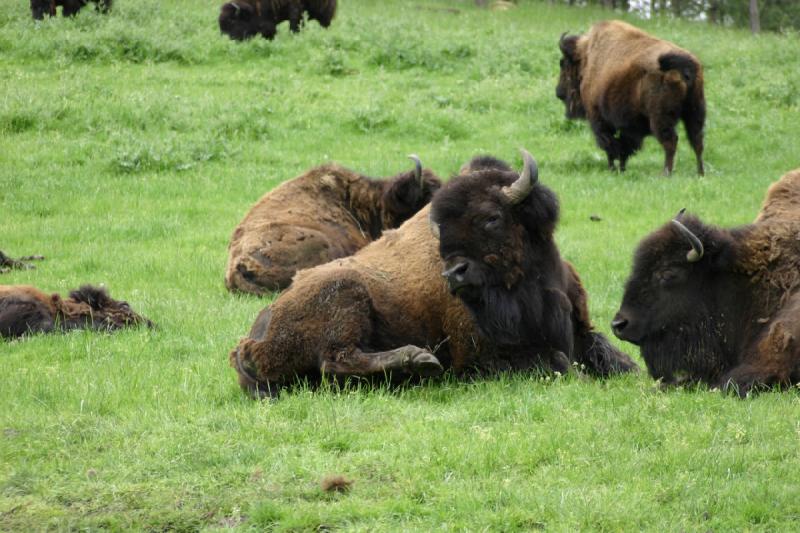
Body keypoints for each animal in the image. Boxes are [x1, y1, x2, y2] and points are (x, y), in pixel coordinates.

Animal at [556, 19, 708, 175]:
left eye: (563, 63)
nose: (559, 93)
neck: (587, 59)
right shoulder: (628, 127)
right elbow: (624, 147)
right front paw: (621, 169)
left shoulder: (600, 119)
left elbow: (610, 146)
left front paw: (613, 169)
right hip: (695, 112)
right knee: (697, 141)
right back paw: (700, 173)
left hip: (661, 119)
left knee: (671, 141)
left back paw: (666, 173)